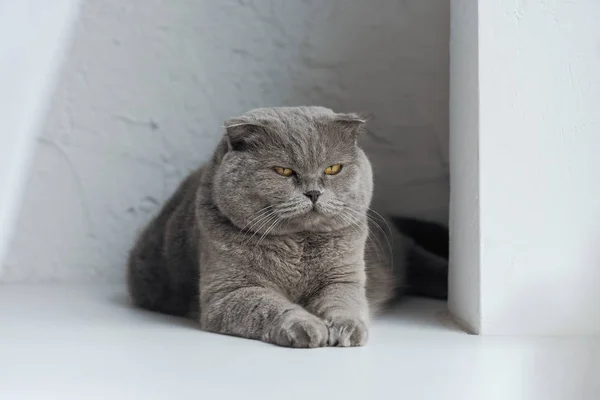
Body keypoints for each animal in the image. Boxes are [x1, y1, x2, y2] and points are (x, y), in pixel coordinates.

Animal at [126, 106, 446, 346]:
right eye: (283, 171)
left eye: (333, 168)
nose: (314, 192)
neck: (299, 245)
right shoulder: (228, 292)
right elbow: (268, 306)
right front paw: (306, 327)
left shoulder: (344, 278)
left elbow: (343, 302)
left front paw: (346, 329)